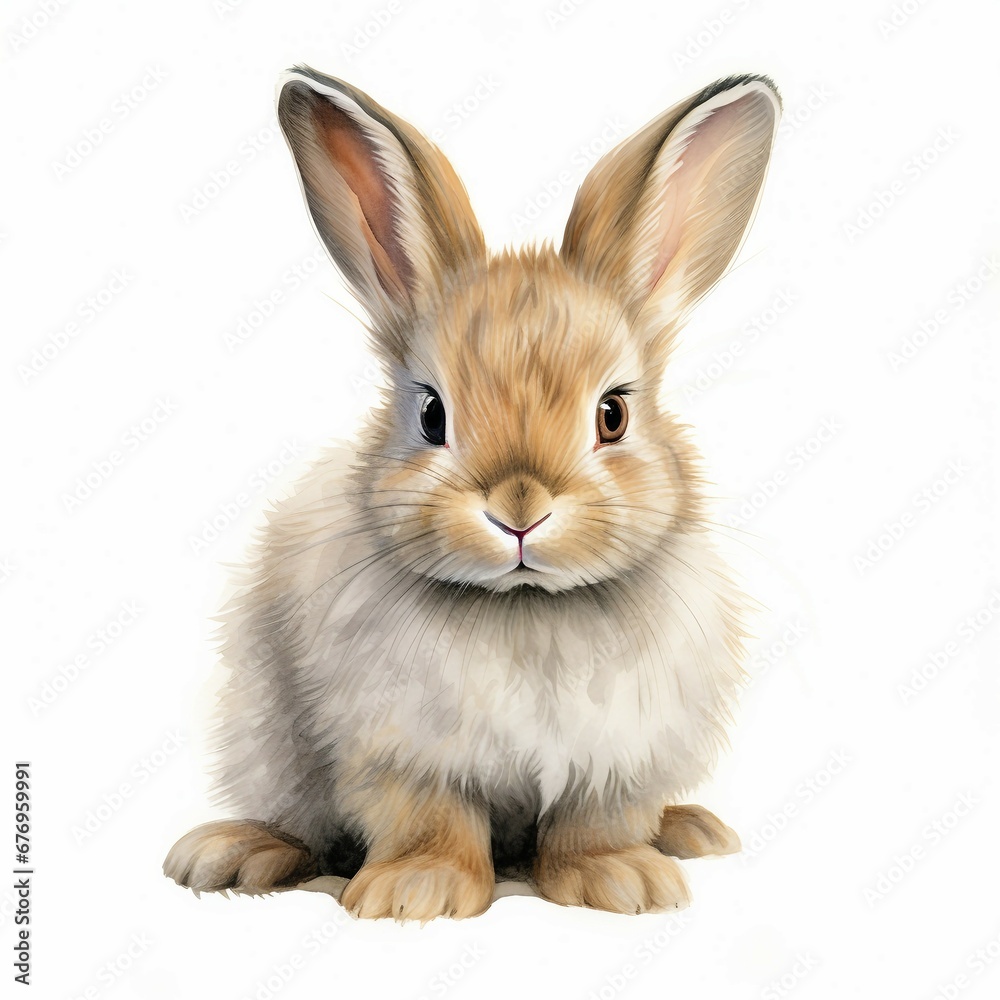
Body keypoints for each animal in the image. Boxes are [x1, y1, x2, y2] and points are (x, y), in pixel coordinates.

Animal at [163, 65, 780, 921]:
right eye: (431, 414)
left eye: (613, 414)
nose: (520, 511)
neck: (525, 606)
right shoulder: (401, 753)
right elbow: (431, 819)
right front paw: (415, 892)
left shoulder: (621, 758)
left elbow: (596, 824)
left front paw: (622, 882)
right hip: (267, 742)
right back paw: (231, 852)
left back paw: (694, 830)